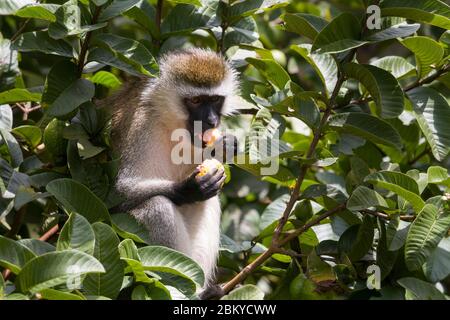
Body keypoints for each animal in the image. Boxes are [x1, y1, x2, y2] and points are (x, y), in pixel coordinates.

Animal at [106, 48, 239, 298]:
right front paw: (190, 188)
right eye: (195, 100)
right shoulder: (141, 125)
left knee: (209, 202)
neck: (170, 121)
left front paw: (224, 146)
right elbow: (121, 191)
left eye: (215, 100)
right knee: (158, 206)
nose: (211, 120)